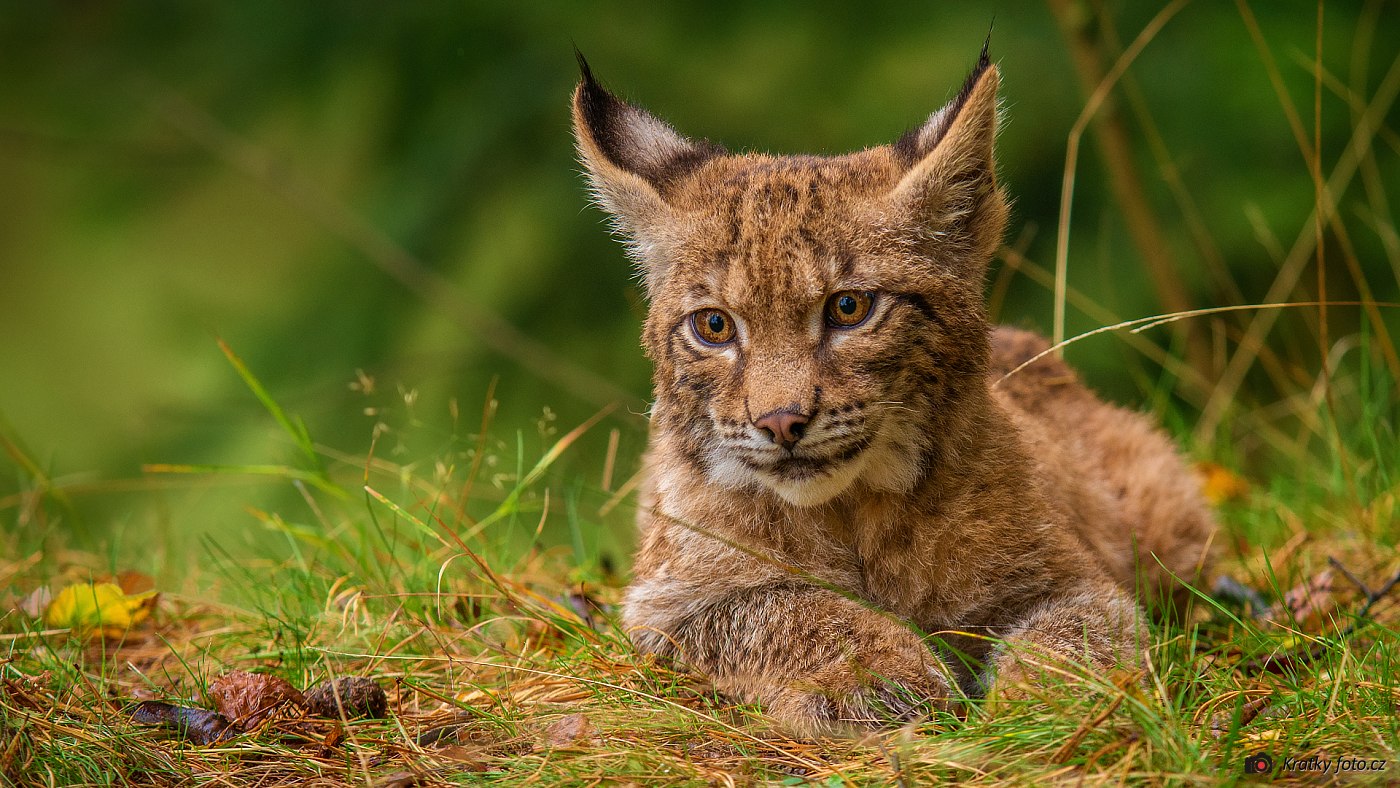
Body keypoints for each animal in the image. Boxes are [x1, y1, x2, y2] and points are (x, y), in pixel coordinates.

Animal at [568, 43, 1215, 733]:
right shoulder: (665, 602)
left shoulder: (1076, 580)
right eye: (714, 326)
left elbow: (1077, 634)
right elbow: (783, 606)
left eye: (849, 308)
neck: (854, 509)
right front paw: (882, 674)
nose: (779, 421)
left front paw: (1046, 711)